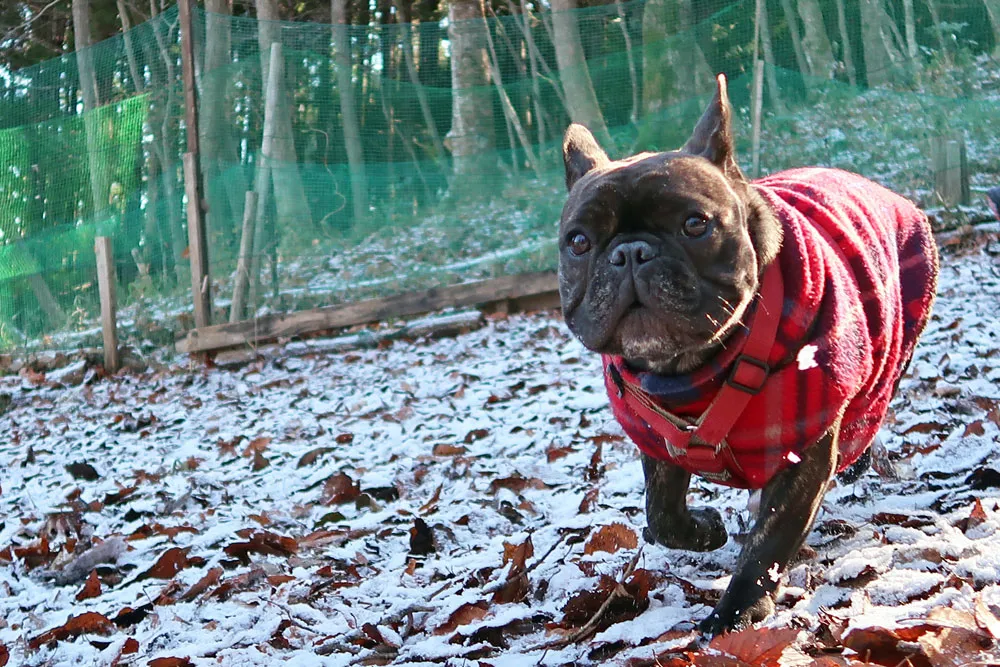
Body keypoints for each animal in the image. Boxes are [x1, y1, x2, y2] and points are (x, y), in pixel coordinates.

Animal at [560, 74, 940, 636]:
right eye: (579, 242)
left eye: (696, 224)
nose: (631, 252)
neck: (690, 370)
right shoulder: (660, 444)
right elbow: (661, 516)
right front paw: (704, 529)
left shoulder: (803, 456)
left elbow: (769, 545)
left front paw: (735, 615)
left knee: (868, 410)